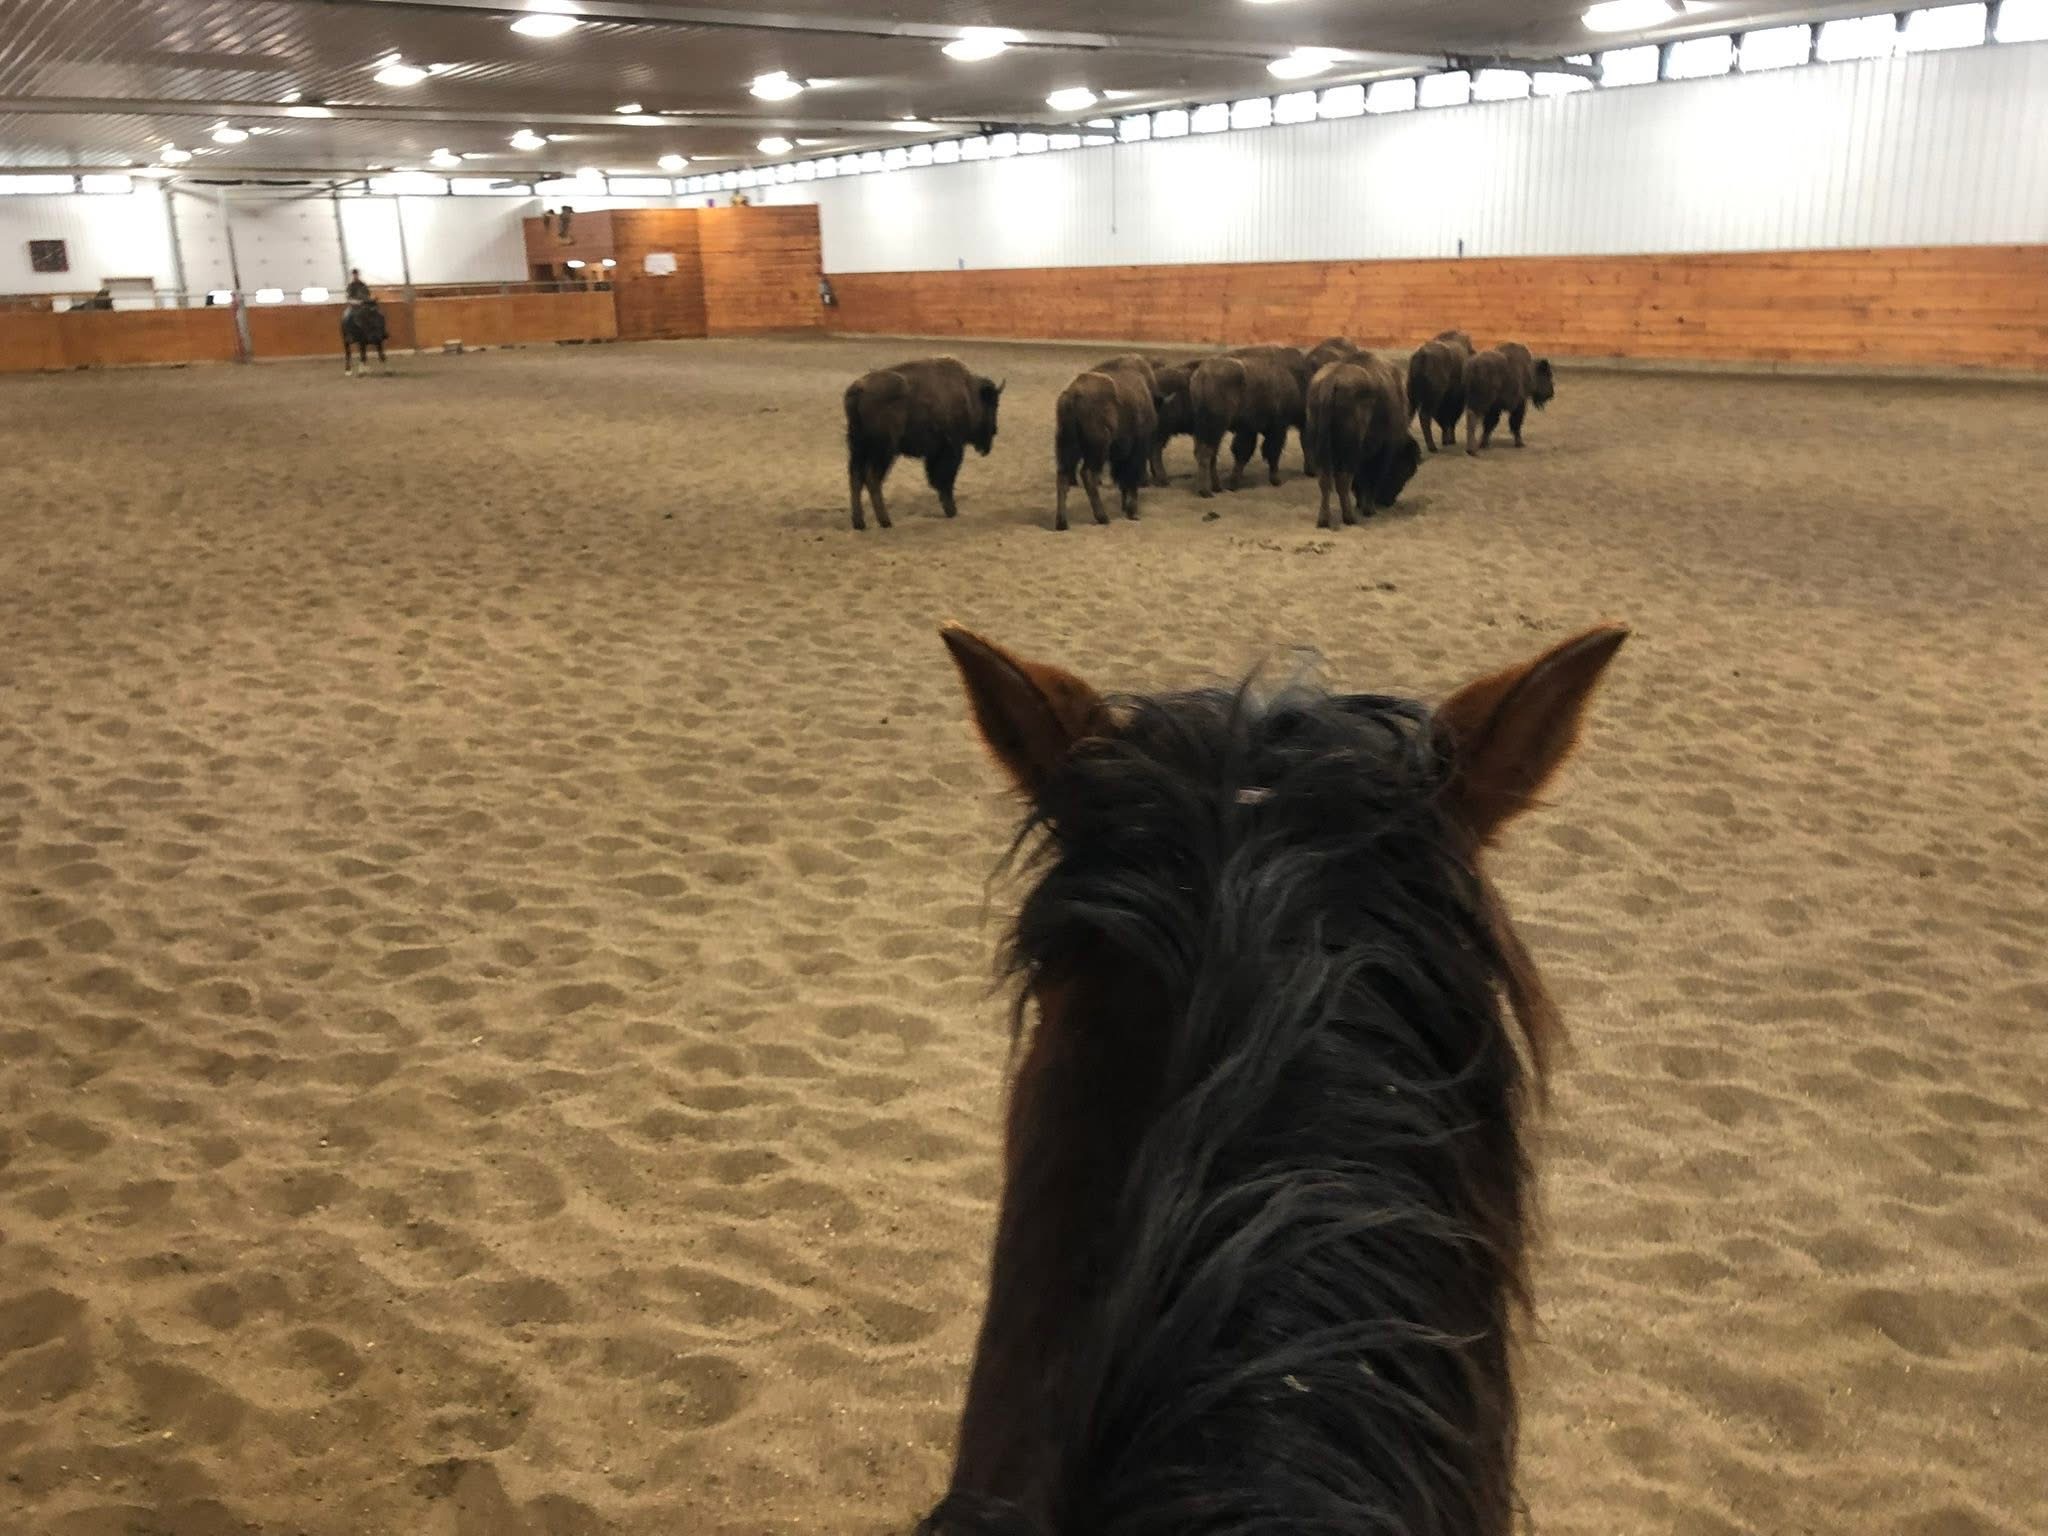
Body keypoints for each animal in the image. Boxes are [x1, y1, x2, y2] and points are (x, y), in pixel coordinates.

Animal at [844, 356, 1004, 530]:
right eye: (993, 403)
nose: (995, 430)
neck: (967, 392)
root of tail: (859, 389)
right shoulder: (951, 449)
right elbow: (946, 479)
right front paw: (952, 511)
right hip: (883, 451)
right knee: (872, 478)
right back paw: (885, 521)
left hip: (858, 448)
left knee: (856, 478)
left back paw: (859, 523)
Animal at [1056, 358, 1160, 531]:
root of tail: (1073, 396)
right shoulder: (1136, 449)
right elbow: (1130, 477)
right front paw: (1132, 511)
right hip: (1098, 450)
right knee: (1088, 474)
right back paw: (1103, 517)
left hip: (1068, 448)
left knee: (1063, 477)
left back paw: (1062, 523)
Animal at [1306, 354, 1423, 529]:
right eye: (1406, 470)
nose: (1388, 501)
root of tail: (1331, 381)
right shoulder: (1383, 450)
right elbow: (1371, 477)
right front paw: (1369, 508)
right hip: (1350, 452)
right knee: (1343, 480)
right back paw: (1349, 518)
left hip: (1321, 449)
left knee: (1325, 480)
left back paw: (1324, 520)